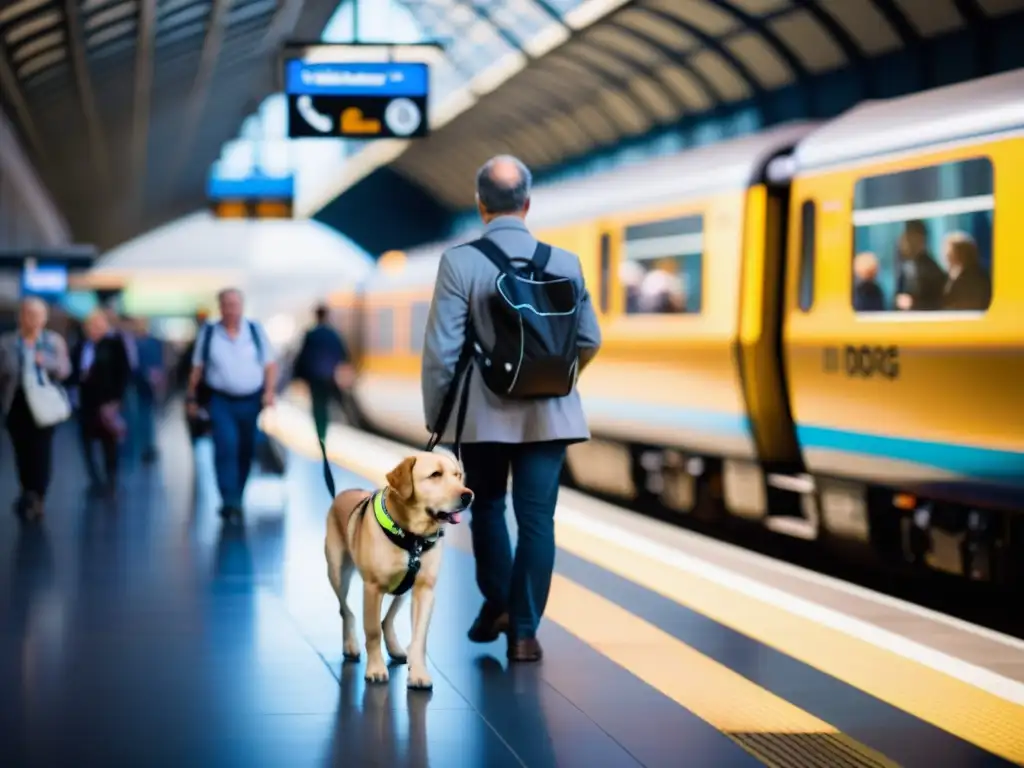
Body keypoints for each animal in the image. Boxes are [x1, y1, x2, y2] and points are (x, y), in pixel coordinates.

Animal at [321, 444, 473, 692]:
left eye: (457, 475)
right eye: (435, 475)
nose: (468, 495)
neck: (413, 537)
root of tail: (341, 494)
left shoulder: (424, 591)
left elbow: (419, 637)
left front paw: (419, 673)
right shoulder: (372, 589)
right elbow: (372, 631)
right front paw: (375, 669)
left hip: (403, 589)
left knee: (387, 619)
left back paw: (394, 648)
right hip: (337, 572)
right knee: (346, 611)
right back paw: (350, 645)